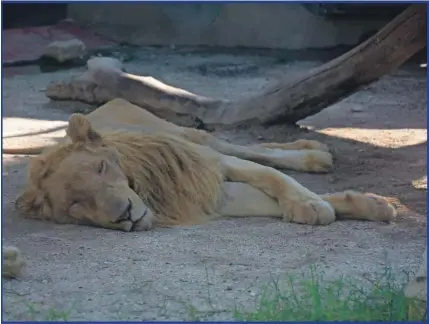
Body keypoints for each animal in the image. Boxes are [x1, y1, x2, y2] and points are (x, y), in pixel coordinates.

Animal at [2, 97, 394, 278]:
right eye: (75, 204)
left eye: (100, 167)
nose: (124, 215)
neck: (147, 192)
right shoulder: (216, 198)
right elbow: (272, 194)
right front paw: (367, 205)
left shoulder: (210, 165)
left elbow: (274, 177)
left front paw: (315, 205)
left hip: (190, 136)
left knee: (250, 148)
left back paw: (314, 154)